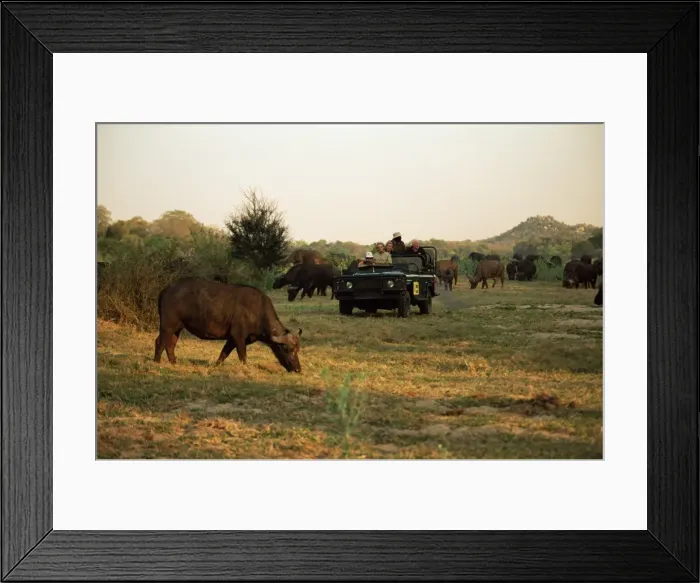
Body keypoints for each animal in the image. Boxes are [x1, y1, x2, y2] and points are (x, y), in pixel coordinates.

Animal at [154, 278, 302, 372]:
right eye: (287, 349)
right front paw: (246, 368)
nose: (298, 369)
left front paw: (216, 366)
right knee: (160, 342)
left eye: (297, 350)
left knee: (170, 344)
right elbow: (242, 355)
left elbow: (224, 353)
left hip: (177, 328)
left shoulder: (232, 339)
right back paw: (156, 362)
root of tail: (166, 290)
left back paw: (174, 363)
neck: (257, 311)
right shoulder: (239, 337)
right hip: (167, 326)